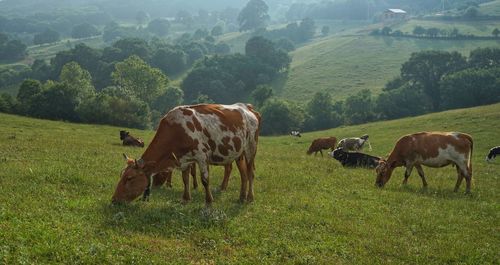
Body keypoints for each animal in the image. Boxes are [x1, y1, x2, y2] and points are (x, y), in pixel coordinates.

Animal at [112, 102, 262, 203]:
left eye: (129, 178)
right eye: (121, 175)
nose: (114, 200)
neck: (176, 130)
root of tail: (247, 107)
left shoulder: (202, 156)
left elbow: (205, 180)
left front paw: (209, 201)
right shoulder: (184, 159)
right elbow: (185, 178)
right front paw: (185, 198)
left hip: (250, 149)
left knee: (250, 173)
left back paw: (250, 197)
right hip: (238, 153)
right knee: (243, 174)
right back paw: (241, 197)